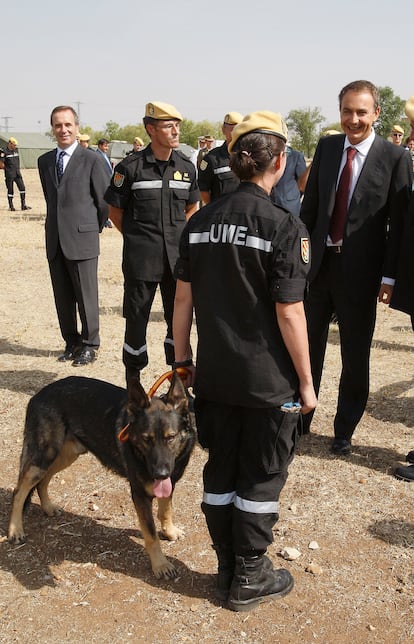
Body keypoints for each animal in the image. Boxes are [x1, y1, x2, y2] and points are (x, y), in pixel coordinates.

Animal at [7, 372, 196, 580]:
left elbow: (165, 510)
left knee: (43, 480)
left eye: (171, 437)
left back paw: (48, 507)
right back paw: (15, 530)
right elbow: (151, 535)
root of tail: (38, 395)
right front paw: (160, 565)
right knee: (19, 491)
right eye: (146, 439)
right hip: (43, 457)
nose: (160, 474)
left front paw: (169, 531)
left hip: (66, 456)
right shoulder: (140, 495)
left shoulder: (169, 484)